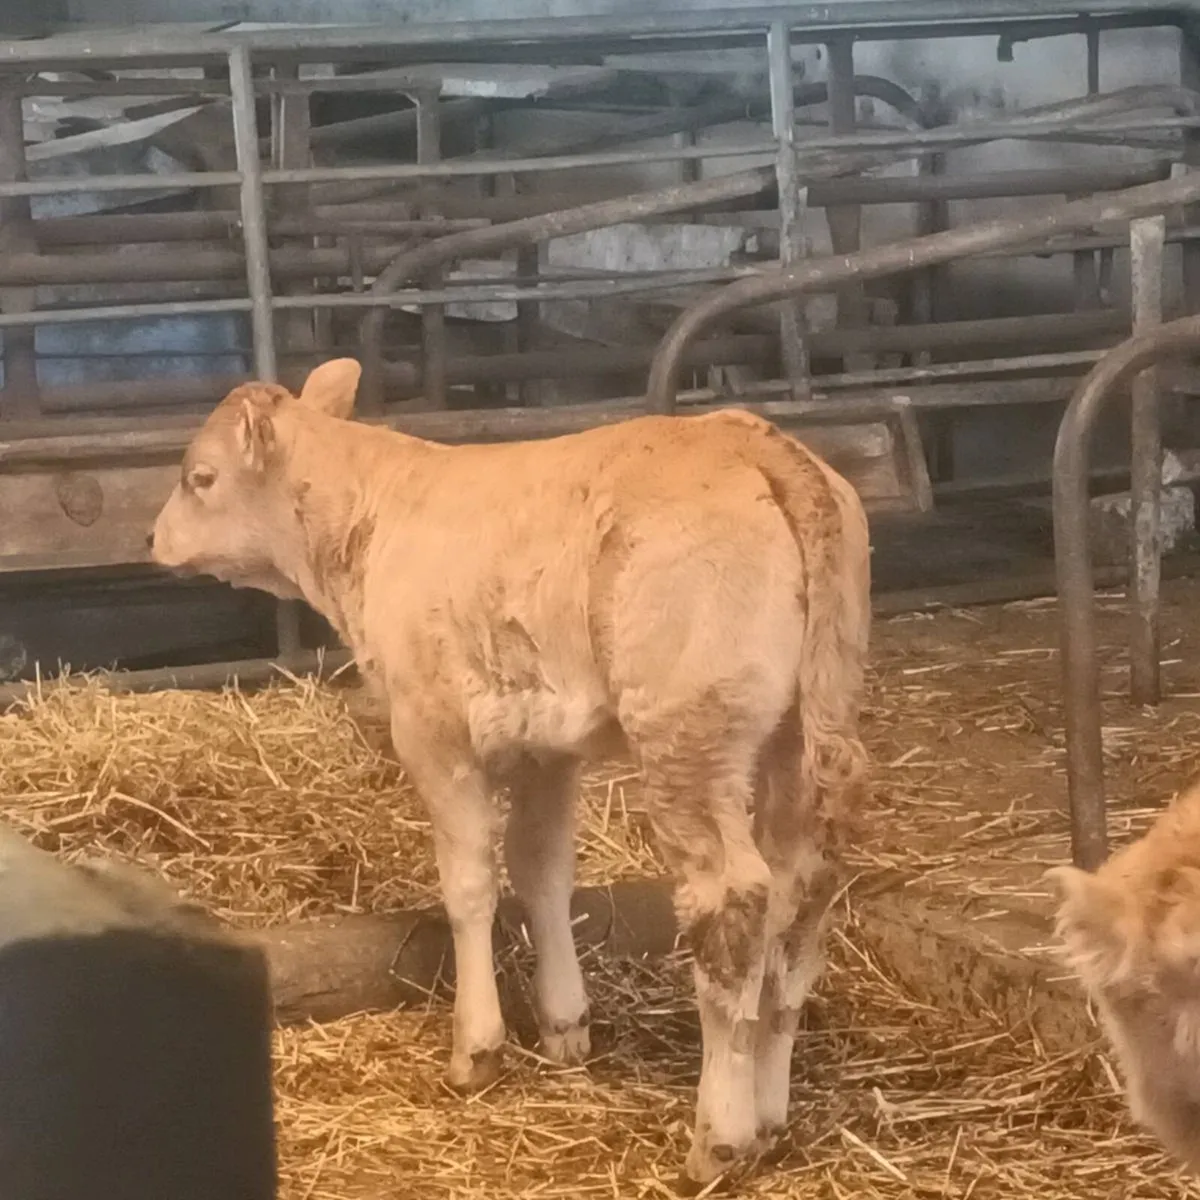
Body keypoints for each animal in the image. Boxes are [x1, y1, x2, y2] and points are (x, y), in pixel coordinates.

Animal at [148, 358, 871, 1185]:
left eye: (200, 477)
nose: (153, 539)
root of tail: (755, 442)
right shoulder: (546, 744)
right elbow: (542, 871)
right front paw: (564, 1028)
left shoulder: (432, 729)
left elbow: (469, 884)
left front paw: (477, 1049)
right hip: (808, 725)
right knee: (800, 889)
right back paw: (771, 1112)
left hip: (688, 734)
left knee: (733, 900)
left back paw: (719, 1135)